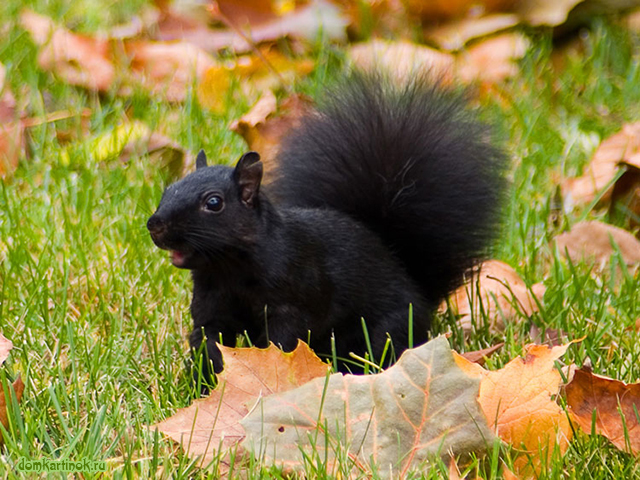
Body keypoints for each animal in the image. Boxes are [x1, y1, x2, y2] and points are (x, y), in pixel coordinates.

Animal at [148, 70, 508, 378]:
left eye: (213, 203)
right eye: (169, 188)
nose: (155, 225)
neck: (228, 269)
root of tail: (416, 291)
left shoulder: (293, 300)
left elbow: (280, 344)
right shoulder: (211, 307)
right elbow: (207, 344)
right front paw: (202, 385)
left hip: (386, 330)